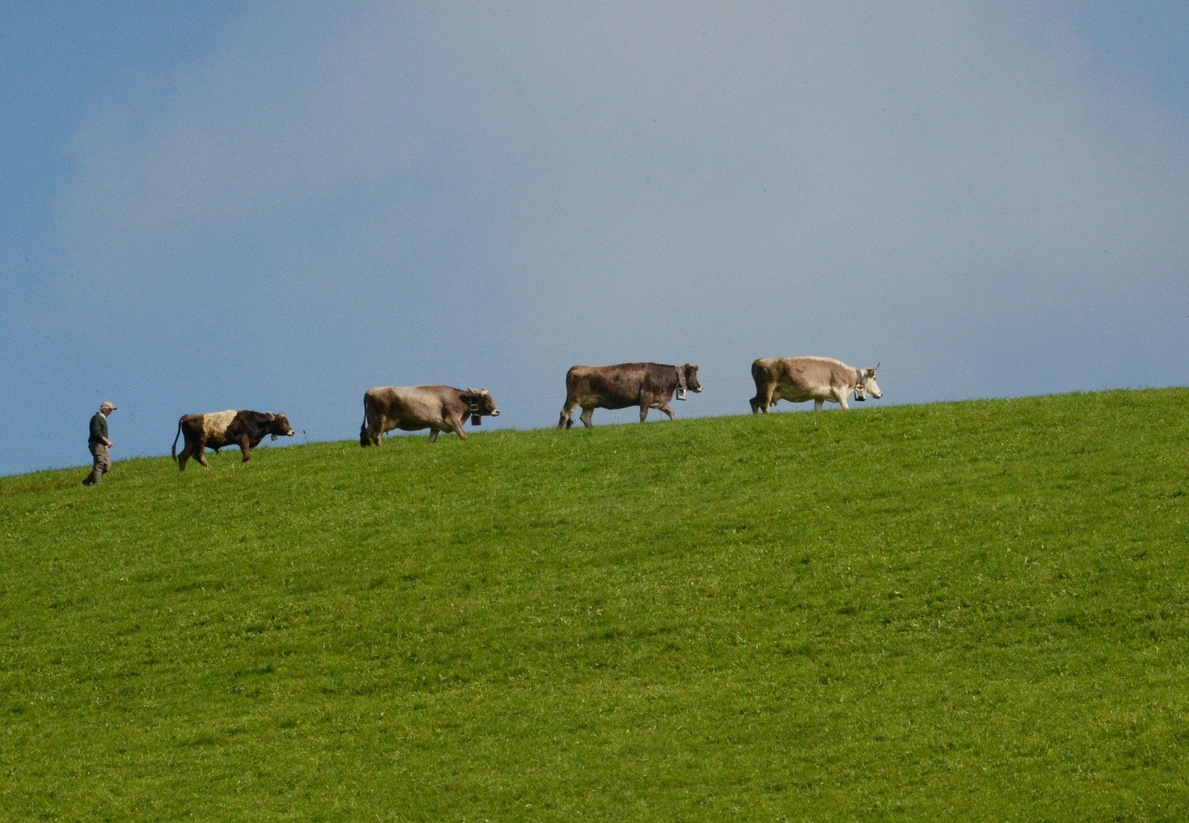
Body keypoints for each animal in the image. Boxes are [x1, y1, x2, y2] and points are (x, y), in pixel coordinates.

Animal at [356, 385, 497, 444]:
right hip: (380, 419)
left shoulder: (436, 424)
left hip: (372, 421)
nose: (497, 411)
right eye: (485, 398)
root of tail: (371, 390)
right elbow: (463, 436)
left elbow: (431, 440)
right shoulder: (453, 419)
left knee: (365, 434)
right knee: (376, 436)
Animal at [554, 363, 694, 430]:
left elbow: (670, 411)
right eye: (693, 374)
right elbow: (643, 414)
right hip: (574, 398)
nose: (698, 386)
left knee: (585, 417)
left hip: (589, 403)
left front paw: (673, 421)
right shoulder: (645, 396)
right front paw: (641, 425)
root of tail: (576, 367)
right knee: (565, 413)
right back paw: (559, 430)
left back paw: (592, 429)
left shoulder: (658, 401)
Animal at [746, 356, 879, 413]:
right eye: (875, 378)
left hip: (761, 390)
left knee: (753, 401)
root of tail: (759, 360)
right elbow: (845, 407)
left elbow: (817, 410)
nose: (881, 393)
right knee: (764, 404)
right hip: (767, 388)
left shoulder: (820, 397)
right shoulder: (840, 390)